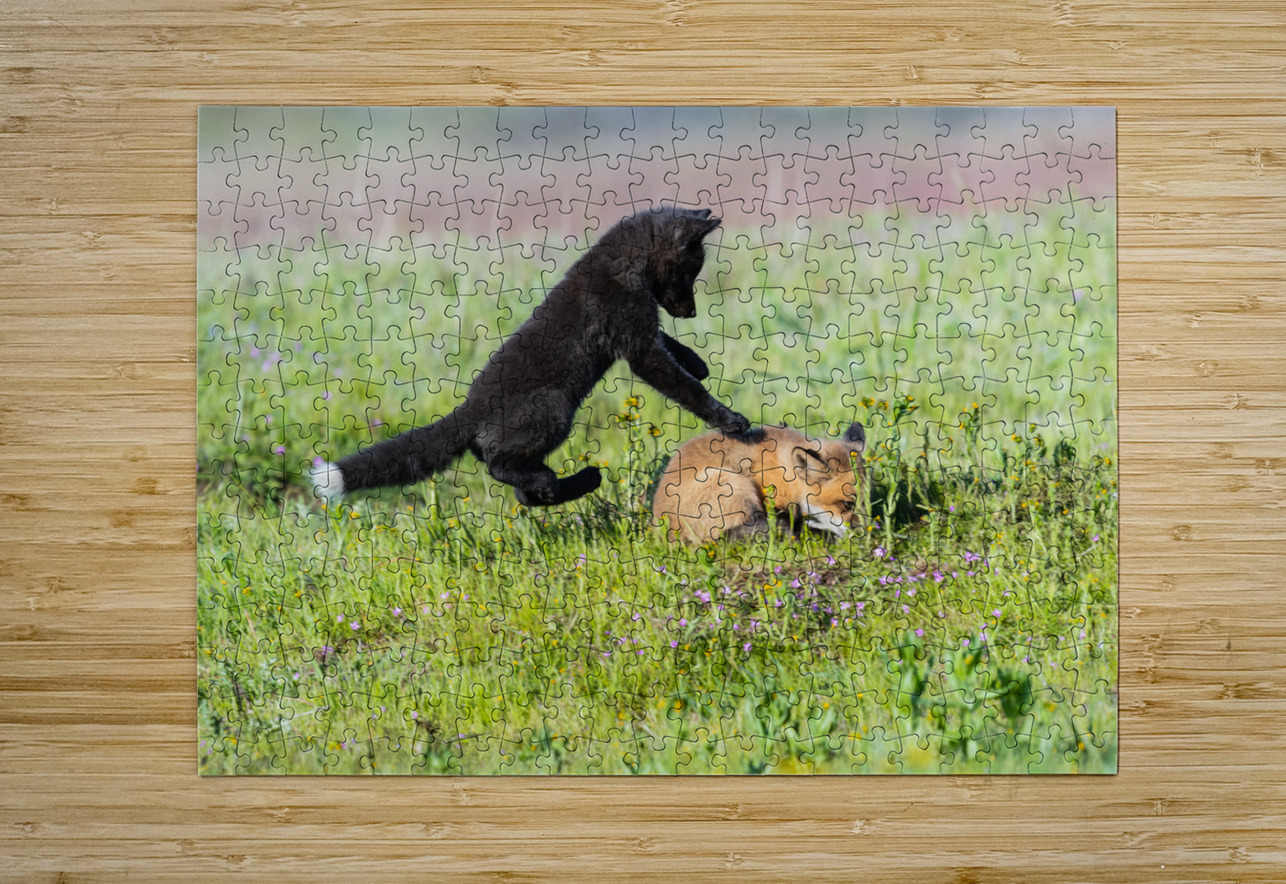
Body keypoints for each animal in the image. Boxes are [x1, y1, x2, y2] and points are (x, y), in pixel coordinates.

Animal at [311, 205, 750, 507]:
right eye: (690, 272)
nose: (690, 312)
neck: (626, 264)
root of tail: (467, 413)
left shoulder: (642, 331)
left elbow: (673, 348)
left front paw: (698, 363)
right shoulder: (636, 345)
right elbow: (685, 388)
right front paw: (731, 422)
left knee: (522, 492)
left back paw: (573, 482)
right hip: (553, 409)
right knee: (499, 466)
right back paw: (562, 481)